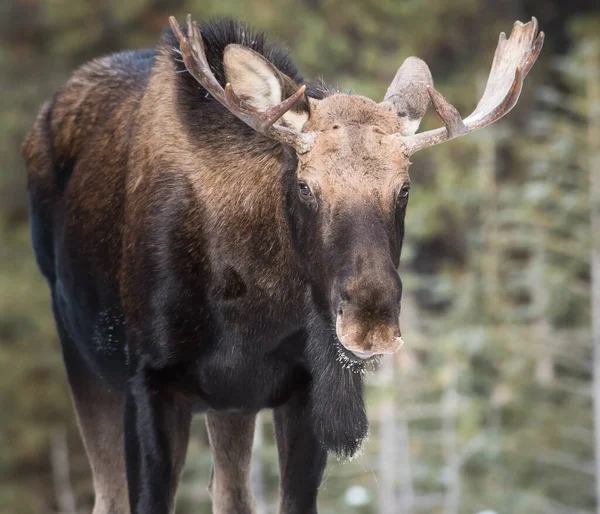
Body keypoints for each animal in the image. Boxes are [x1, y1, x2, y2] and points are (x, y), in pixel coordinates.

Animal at [22, 12, 544, 512]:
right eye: (305, 185)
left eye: (404, 188)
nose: (370, 321)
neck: (250, 315)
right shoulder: (150, 379)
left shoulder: (295, 390)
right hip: (80, 354)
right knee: (107, 495)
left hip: (227, 406)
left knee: (230, 494)